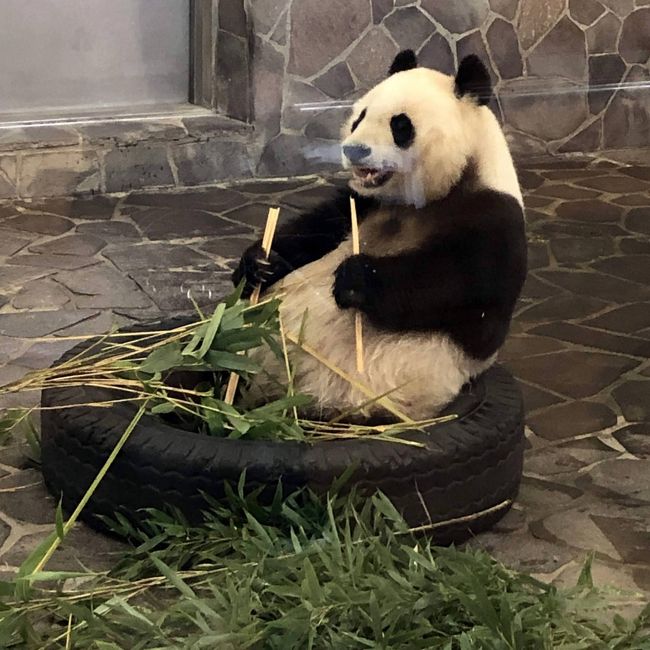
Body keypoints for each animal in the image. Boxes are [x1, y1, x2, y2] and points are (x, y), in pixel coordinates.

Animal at [233, 48, 528, 418]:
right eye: (359, 117)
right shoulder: (361, 203)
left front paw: (355, 278)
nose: (354, 150)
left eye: (400, 126)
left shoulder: (494, 219)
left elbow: (460, 287)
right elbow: (316, 228)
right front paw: (260, 262)